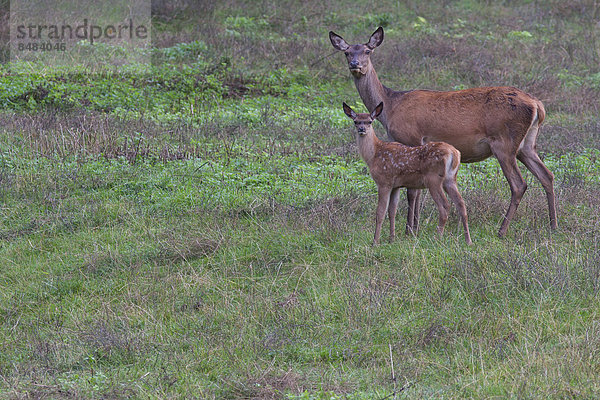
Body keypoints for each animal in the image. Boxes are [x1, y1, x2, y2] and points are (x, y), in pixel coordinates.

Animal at [344, 101, 472, 245]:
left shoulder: (384, 181)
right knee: (461, 204)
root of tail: (454, 153)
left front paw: (375, 242)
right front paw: (391, 239)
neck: (374, 155)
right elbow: (392, 211)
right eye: (356, 121)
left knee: (445, 206)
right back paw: (468, 240)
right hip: (450, 179)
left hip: (433, 179)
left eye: (369, 121)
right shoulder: (395, 186)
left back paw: (437, 238)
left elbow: (380, 212)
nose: (361, 129)